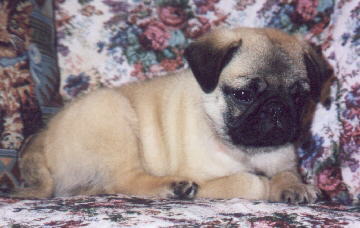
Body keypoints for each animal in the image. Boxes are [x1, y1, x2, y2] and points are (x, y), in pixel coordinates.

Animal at [14, 27, 330, 203]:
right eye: (244, 95)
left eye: (299, 96)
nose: (276, 108)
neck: (248, 151)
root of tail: (44, 135)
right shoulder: (213, 180)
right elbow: (251, 182)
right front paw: (270, 185)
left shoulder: (284, 160)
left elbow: (287, 173)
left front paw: (294, 186)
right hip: (112, 113)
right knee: (126, 180)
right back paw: (173, 187)